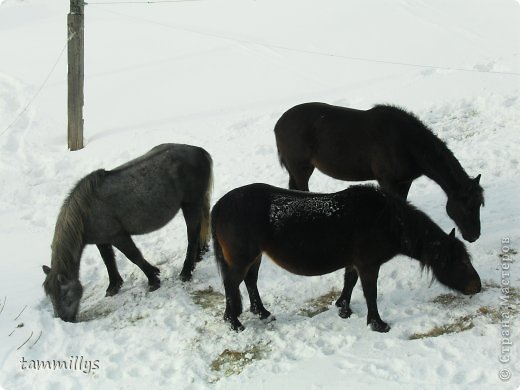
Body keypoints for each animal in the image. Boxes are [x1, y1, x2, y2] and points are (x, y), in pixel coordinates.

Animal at [40, 145, 211, 322]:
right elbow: (108, 261)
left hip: (190, 205)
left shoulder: (119, 237)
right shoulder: (102, 241)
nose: (64, 320)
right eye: (50, 296)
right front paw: (114, 286)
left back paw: (186, 272)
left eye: (64, 295)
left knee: (192, 235)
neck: (85, 211)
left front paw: (153, 280)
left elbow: (134, 256)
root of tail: (199, 151)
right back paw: (198, 257)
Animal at [211, 183, 484, 332]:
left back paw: (262, 312)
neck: (386, 220)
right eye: (460, 261)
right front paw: (378, 324)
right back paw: (234, 322)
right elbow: (370, 293)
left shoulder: (354, 263)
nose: (477, 286)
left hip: (255, 256)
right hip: (242, 258)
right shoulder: (369, 265)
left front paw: (344, 308)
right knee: (232, 285)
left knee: (250, 282)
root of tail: (218, 206)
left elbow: (349, 283)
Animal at [276, 103, 484, 244]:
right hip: (301, 169)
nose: (474, 236)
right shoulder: (387, 181)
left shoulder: (405, 181)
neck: (405, 142)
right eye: (467, 207)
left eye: (479, 205)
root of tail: (278, 125)